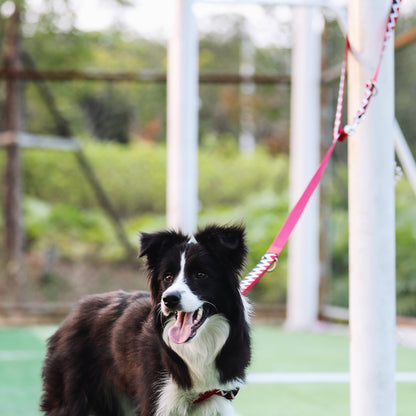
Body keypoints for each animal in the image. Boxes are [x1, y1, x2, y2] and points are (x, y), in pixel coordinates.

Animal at [41, 226, 250, 414]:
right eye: (168, 277)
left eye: (200, 275)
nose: (169, 299)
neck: (196, 347)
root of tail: (73, 312)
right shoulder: (156, 399)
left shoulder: (214, 400)